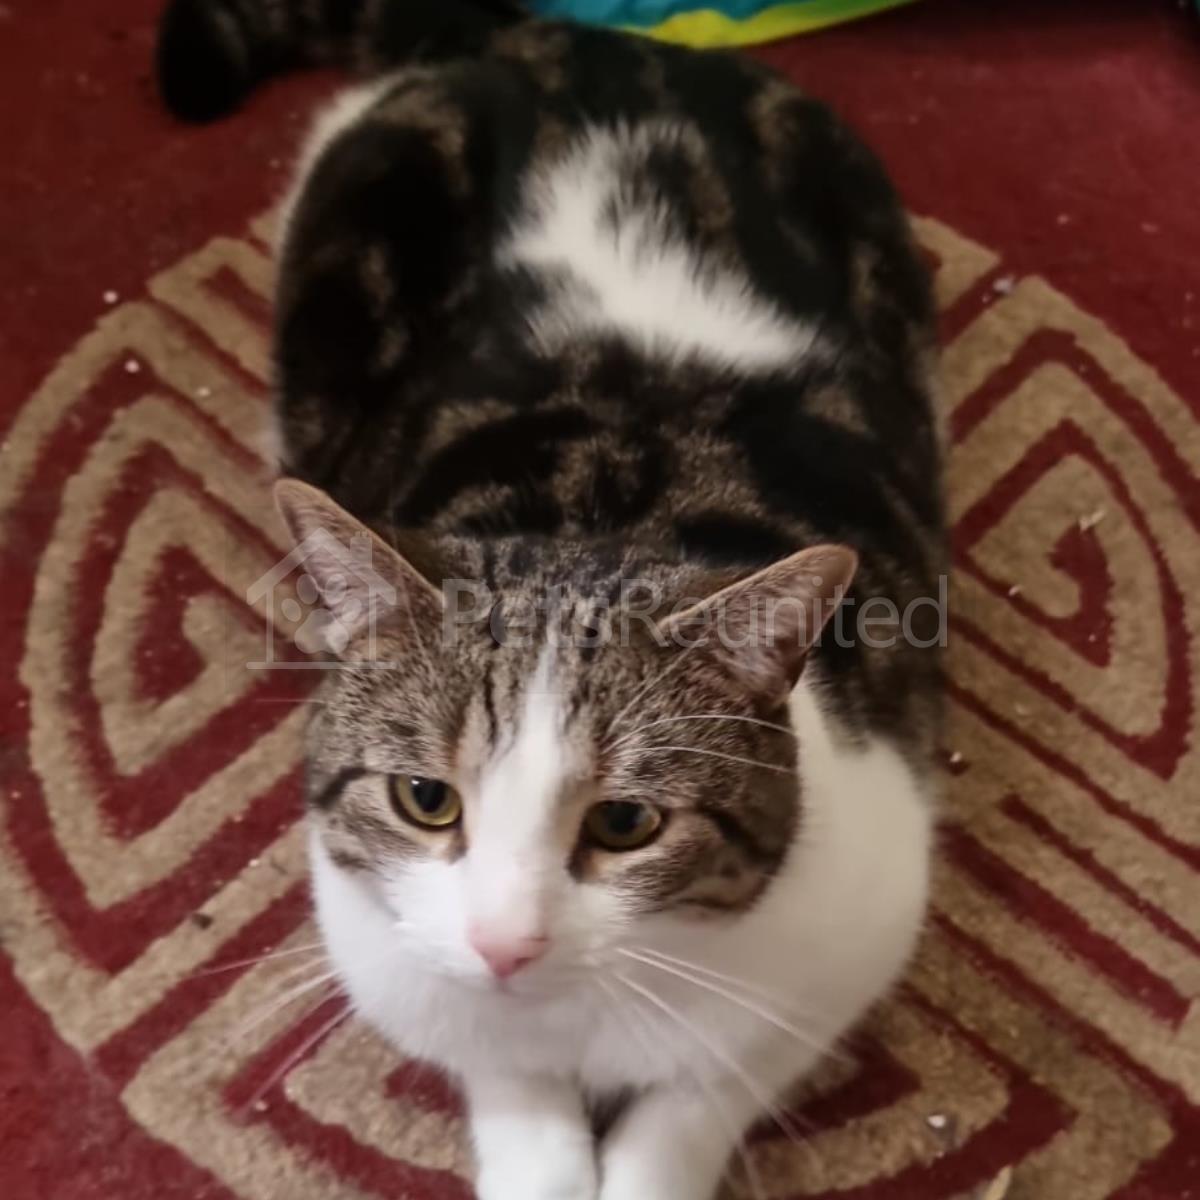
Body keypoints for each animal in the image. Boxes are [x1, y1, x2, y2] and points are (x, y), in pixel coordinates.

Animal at [157, 2, 945, 1197]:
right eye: (426, 800)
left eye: (626, 823)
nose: (505, 945)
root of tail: (574, 36)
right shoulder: (394, 948)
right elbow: (503, 1075)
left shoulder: (849, 929)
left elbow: (698, 1095)